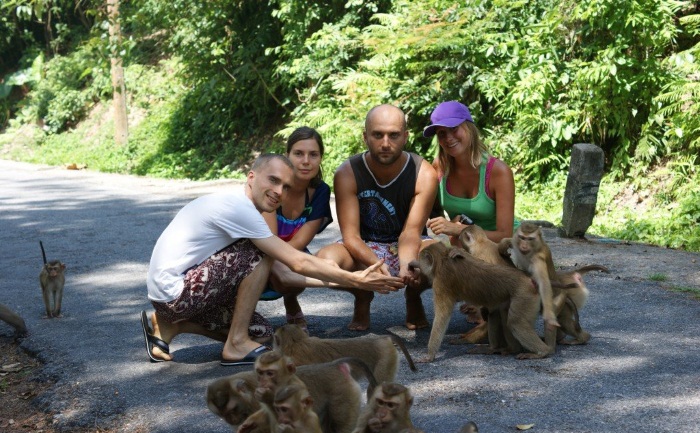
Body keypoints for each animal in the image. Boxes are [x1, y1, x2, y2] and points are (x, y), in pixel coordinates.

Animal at [404, 241, 552, 360]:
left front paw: (430, 355)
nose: (416, 262)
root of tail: (529, 280)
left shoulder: (441, 282)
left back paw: (542, 352)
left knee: (516, 322)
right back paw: (505, 349)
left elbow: (442, 317)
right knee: (499, 313)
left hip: (524, 295)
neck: (442, 259)